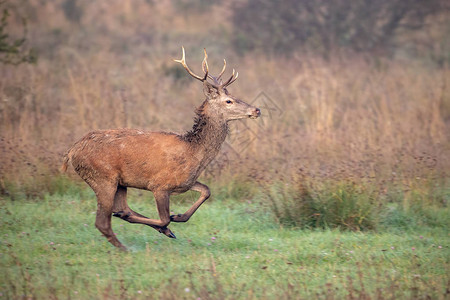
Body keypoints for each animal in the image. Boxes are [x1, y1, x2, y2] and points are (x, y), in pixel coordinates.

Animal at [61, 47, 262, 251]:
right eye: (229, 101)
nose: (256, 110)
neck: (193, 152)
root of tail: (71, 152)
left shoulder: (185, 181)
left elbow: (206, 190)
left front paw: (178, 216)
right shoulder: (159, 185)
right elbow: (165, 218)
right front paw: (169, 224)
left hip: (119, 182)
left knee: (120, 208)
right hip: (101, 176)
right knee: (103, 220)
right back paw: (126, 246)